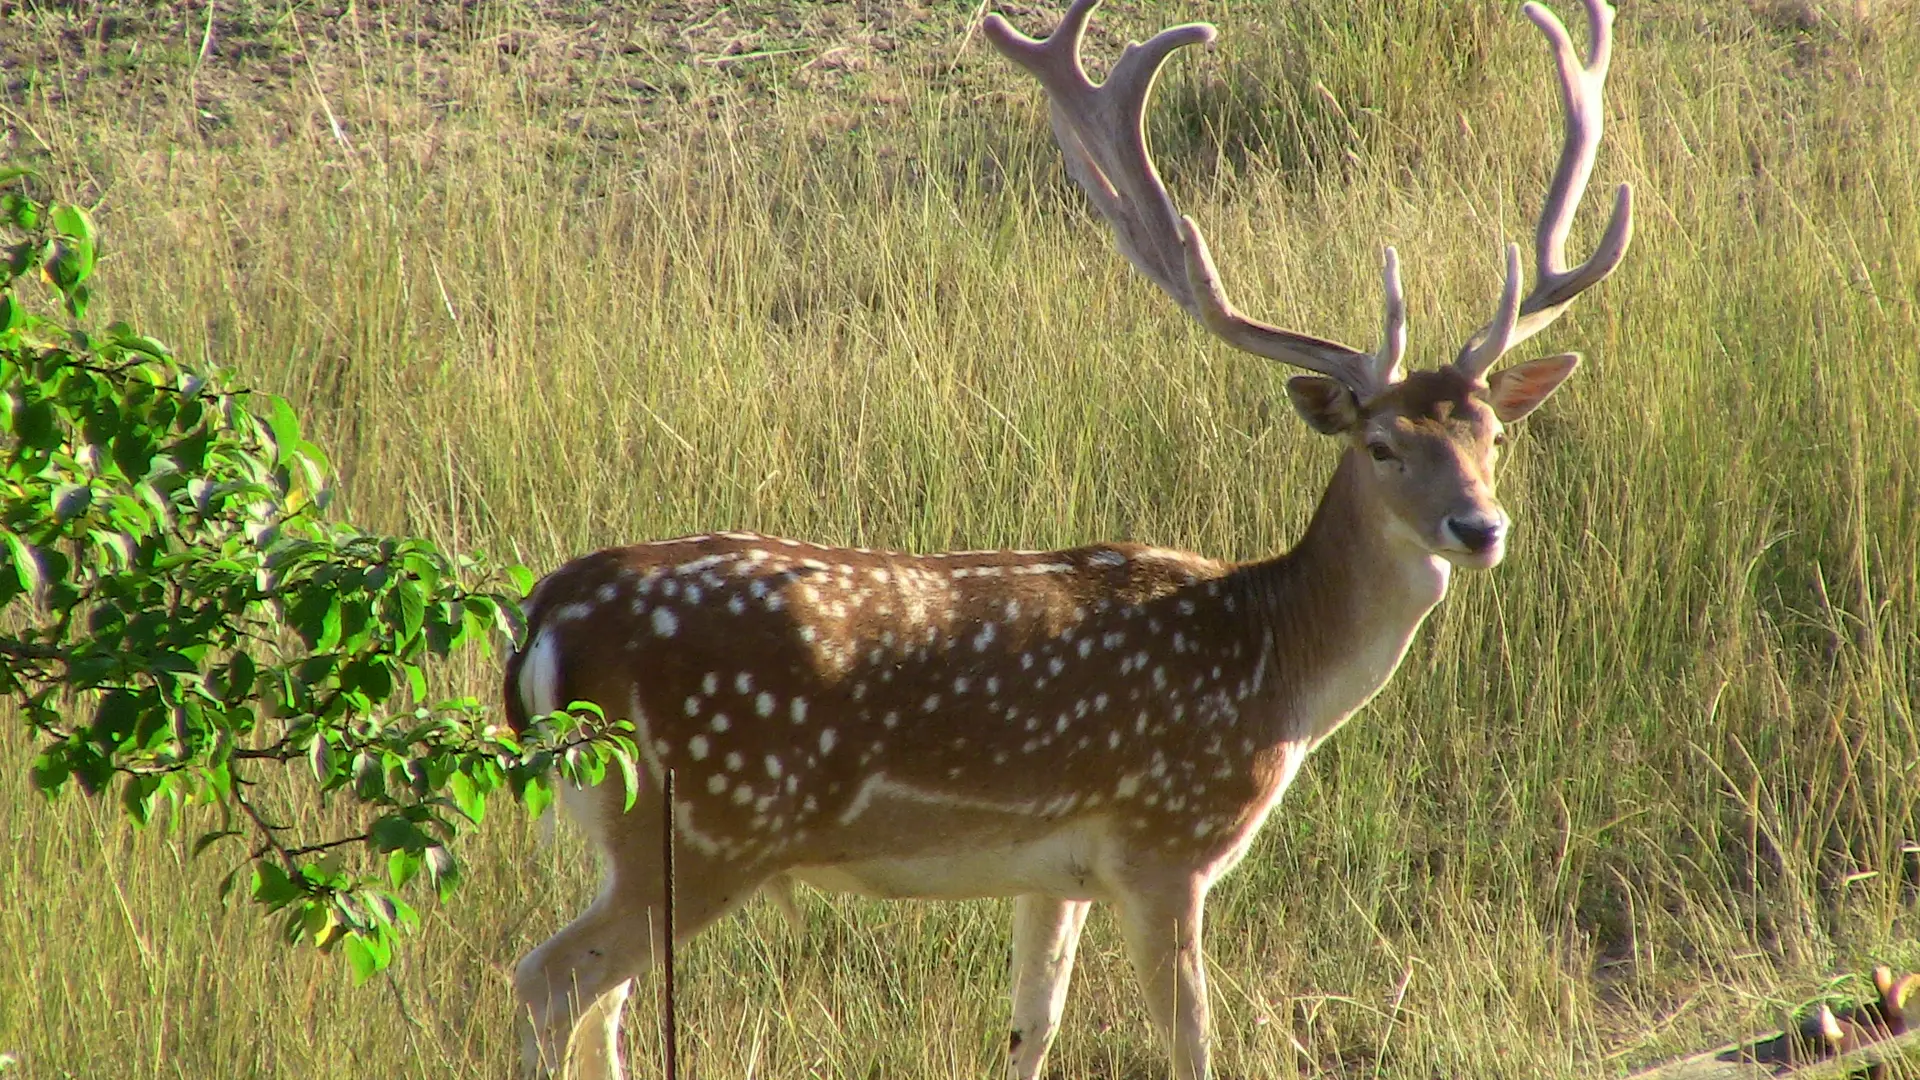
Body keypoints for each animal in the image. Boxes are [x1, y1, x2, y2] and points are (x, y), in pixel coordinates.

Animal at [503, 2, 1628, 1076]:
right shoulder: (1165, 842)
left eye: (1490, 434)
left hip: (642, 828)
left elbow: (1030, 1026)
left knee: (597, 1004)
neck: (1277, 667)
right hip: (705, 821)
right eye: (1384, 444)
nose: (1479, 527)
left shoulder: (1057, 872)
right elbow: (1190, 1044)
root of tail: (548, 616)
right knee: (547, 980)